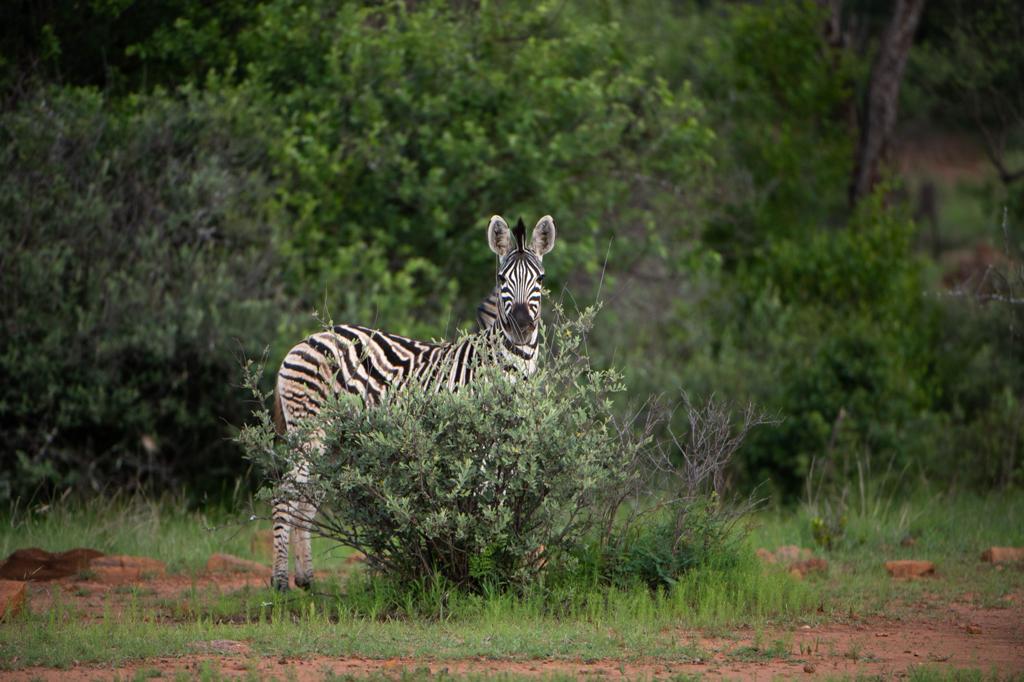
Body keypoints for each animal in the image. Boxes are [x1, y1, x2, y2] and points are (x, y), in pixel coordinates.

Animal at [270, 214, 556, 591]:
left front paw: (502, 563)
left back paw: (306, 579)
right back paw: (278, 581)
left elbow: (504, 500)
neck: (506, 365)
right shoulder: (476, 439)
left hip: (332, 440)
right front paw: (479, 567)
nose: (522, 325)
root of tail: (302, 342)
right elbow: (480, 499)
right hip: (310, 430)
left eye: (540, 279)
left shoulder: (508, 439)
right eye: (501, 279)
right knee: (283, 494)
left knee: (305, 497)